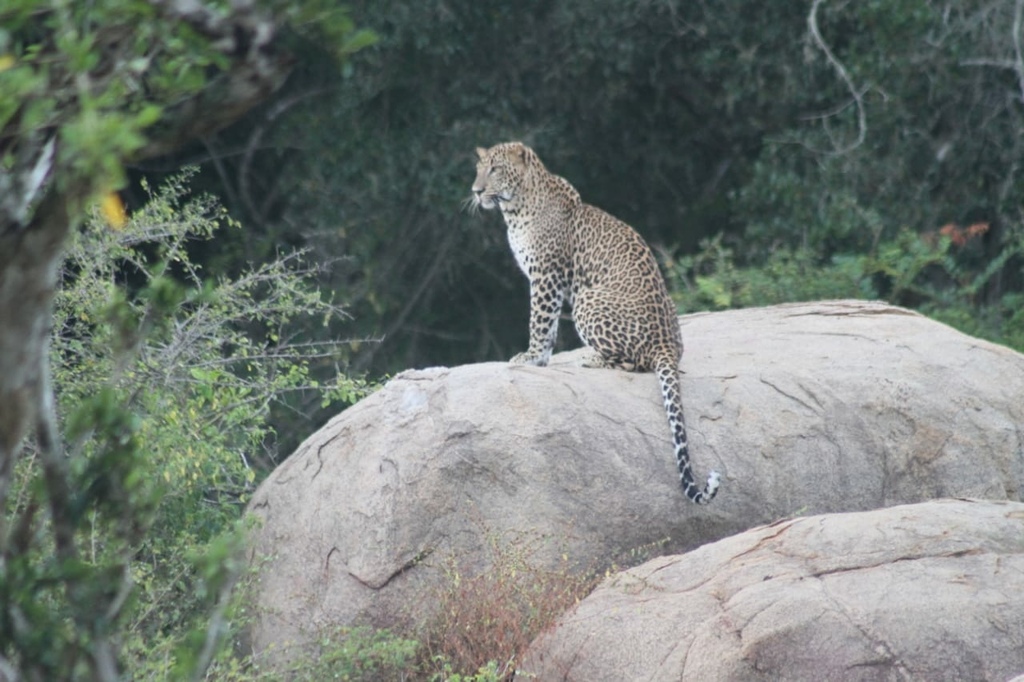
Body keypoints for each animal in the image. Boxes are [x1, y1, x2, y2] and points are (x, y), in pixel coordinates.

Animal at [468, 140, 720, 501]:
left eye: (496, 169)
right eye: (479, 169)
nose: (476, 192)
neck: (515, 207)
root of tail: (667, 345)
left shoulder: (546, 275)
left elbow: (539, 321)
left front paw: (531, 357)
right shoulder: (550, 280)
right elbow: (548, 327)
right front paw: (541, 359)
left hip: (588, 300)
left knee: (633, 363)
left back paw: (590, 358)